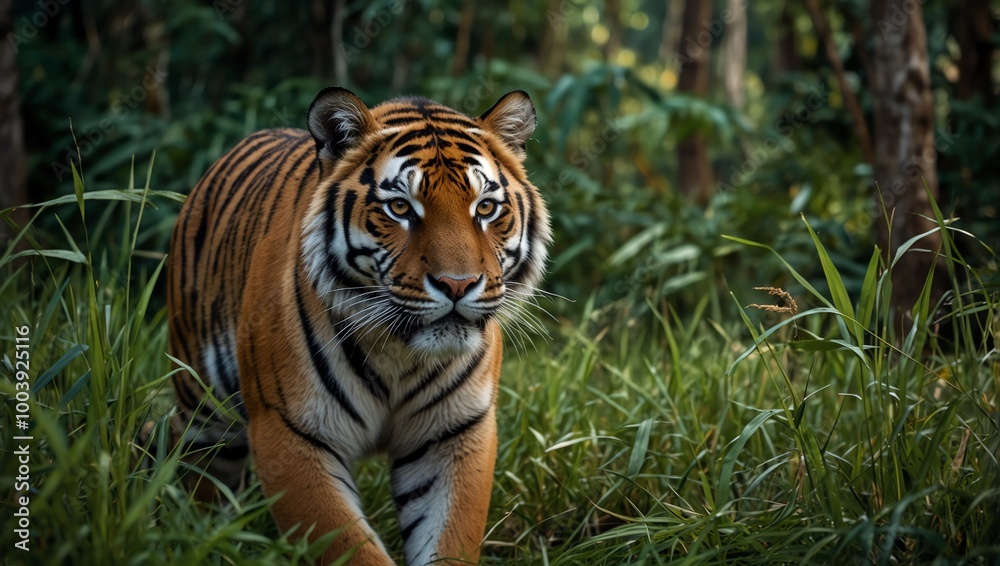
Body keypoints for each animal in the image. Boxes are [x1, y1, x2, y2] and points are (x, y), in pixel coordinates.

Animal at [164, 86, 550, 565]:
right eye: (400, 207)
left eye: (485, 207)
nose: (457, 285)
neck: (400, 351)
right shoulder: (288, 433)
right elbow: (351, 549)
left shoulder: (455, 433)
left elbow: (449, 540)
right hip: (202, 407)